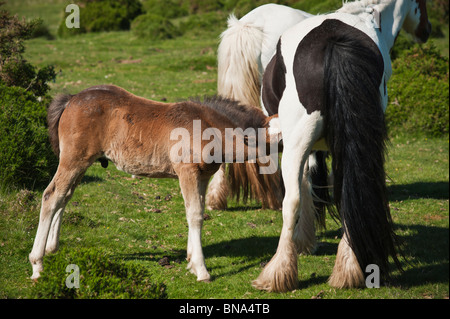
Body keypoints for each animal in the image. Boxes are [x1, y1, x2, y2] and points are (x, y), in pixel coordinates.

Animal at [28, 85, 280, 282]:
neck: (207, 127)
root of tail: (71, 99)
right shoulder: (187, 172)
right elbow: (195, 214)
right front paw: (201, 270)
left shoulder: (202, 176)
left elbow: (196, 211)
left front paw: (190, 260)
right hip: (73, 160)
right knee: (51, 196)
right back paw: (37, 264)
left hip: (79, 163)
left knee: (65, 196)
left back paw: (52, 248)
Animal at [253, 0, 432, 292]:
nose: (426, 30)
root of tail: (334, 42)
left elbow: (304, 185)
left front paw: (304, 241)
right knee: (350, 192)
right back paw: (349, 270)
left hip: (296, 144)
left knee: (291, 200)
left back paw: (278, 274)